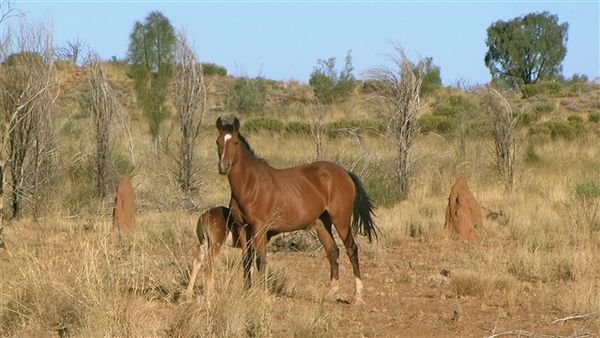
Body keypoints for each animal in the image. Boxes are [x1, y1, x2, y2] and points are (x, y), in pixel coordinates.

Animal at [216, 117, 378, 304]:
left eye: (235, 142)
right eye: (218, 141)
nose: (223, 167)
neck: (250, 185)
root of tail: (345, 172)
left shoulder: (260, 229)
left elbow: (261, 260)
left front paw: (262, 295)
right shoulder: (242, 227)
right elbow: (246, 259)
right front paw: (247, 291)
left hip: (341, 220)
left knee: (352, 249)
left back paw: (357, 296)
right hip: (321, 223)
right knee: (332, 251)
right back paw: (331, 293)